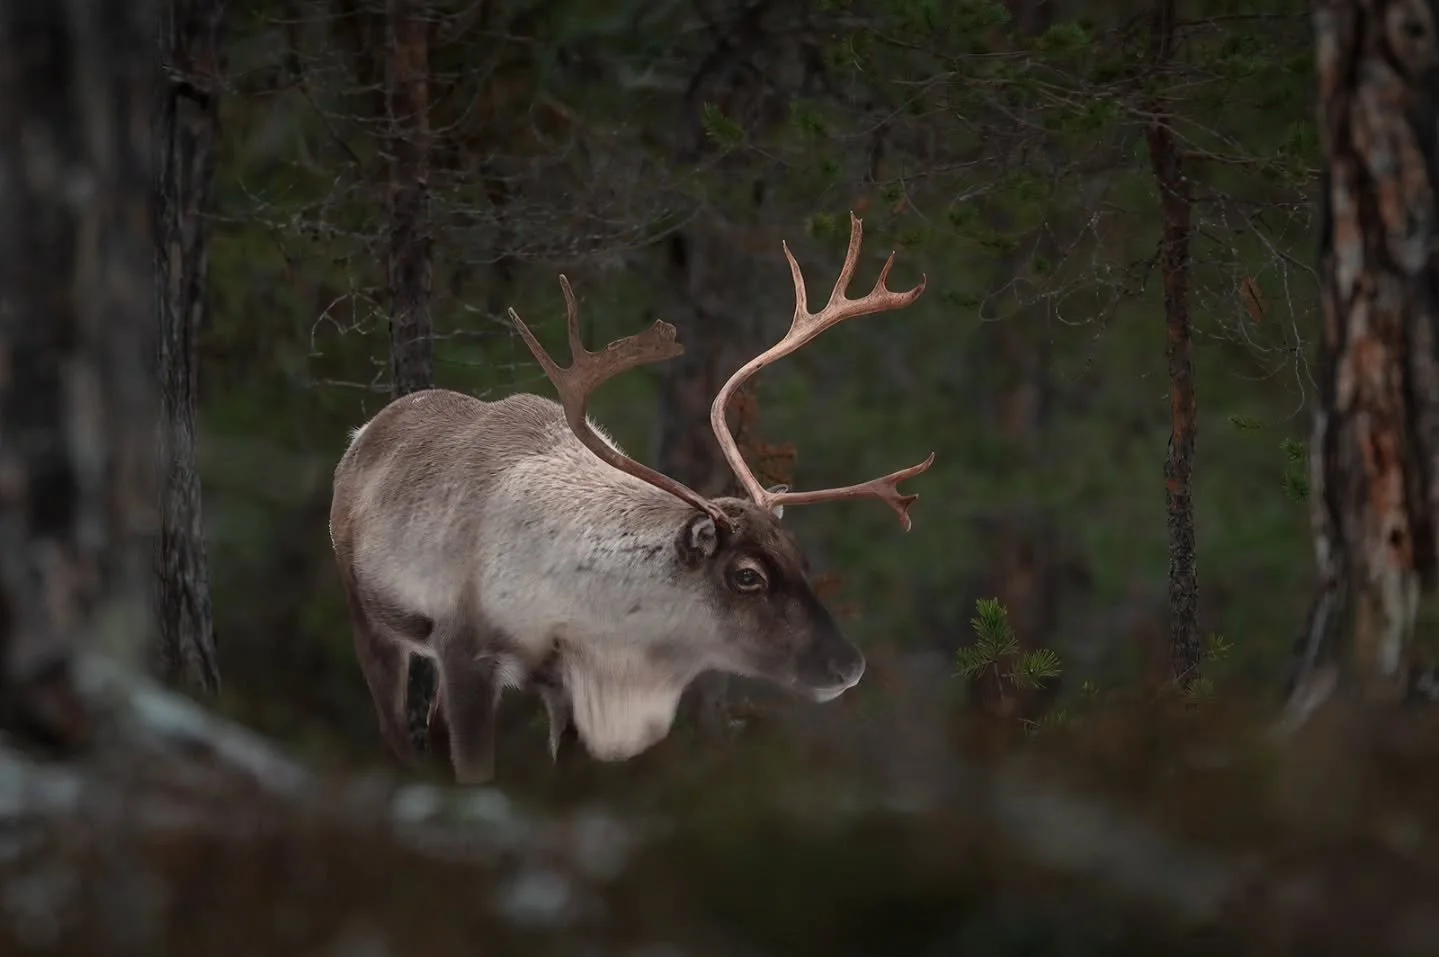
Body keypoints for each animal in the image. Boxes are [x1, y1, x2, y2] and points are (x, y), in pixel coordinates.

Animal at [328, 212, 933, 784]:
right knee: (394, 729)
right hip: (367, 613)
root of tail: (360, 435)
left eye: (801, 558)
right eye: (746, 575)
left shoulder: (570, 685)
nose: (848, 665)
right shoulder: (464, 652)